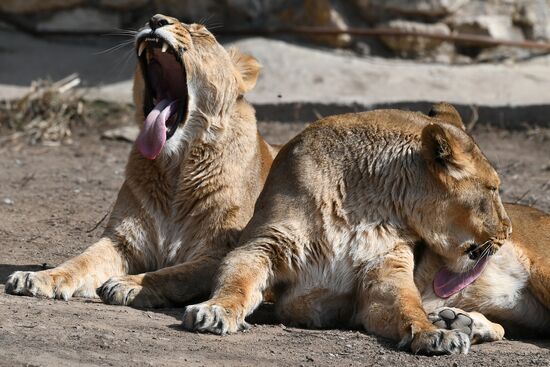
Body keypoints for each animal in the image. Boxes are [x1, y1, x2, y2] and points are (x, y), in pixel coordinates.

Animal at [6, 13, 278, 308]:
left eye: (201, 34)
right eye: (157, 19)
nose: (156, 19)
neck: (176, 170)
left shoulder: (220, 253)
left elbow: (173, 274)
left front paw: (128, 283)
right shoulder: (122, 241)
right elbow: (80, 261)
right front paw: (38, 277)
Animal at [182, 102, 516, 356]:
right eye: (493, 189)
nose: (508, 230)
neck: (361, 209)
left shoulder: (384, 269)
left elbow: (408, 307)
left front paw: (434, 334)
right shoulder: (262, 245)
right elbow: (236, 283)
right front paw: (215, 310)